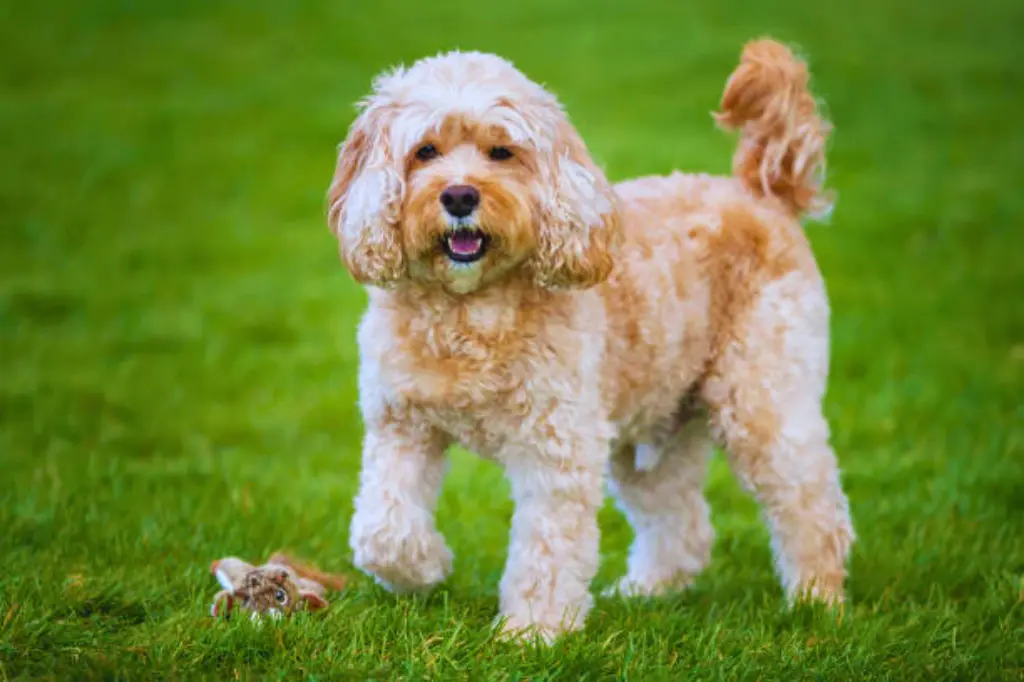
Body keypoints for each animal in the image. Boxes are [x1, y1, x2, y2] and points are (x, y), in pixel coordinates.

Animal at [327, 37, 856, 638]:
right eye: (425, 151)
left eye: (501, 152)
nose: (460, 196)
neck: (468, 310)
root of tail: (762, 192)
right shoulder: (400, 425)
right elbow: (381, 529)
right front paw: (426, 567)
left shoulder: (556, 443)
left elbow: (548, 546)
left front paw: (532, 632)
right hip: (654, 427)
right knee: (683, 520)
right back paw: (646, 591)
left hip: (763, 399)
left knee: (812, 505)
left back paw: (818, 601)